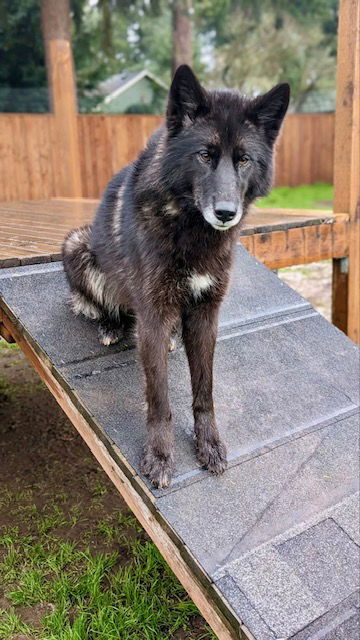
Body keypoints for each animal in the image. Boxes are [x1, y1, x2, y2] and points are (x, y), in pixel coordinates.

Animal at [62, 65, 290, 488]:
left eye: (244, 160)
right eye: (204, 155)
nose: (226, 213)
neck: (191, 229)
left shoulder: (205, 316)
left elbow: (205, 392)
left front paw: (209, 443)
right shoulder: (152, 315)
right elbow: (159, 398)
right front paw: (160, 454)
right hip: (76, 245)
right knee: (103, 305)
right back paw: (110, 324)